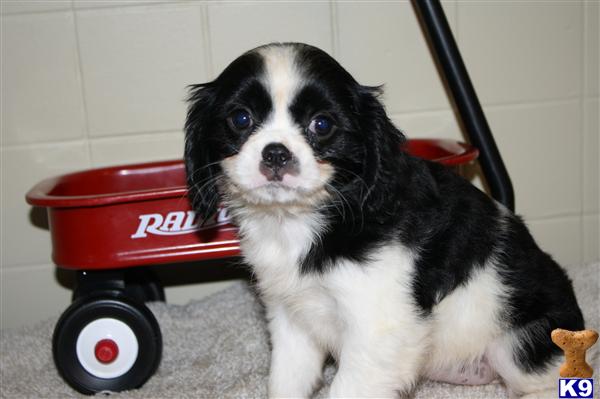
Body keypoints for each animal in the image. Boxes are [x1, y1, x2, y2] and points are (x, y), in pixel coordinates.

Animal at [185, 42, 584, 398]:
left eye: (322, 124)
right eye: (240, 119)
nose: (276, 153)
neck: (307, 221)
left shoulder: (379, 329)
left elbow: (347, 388)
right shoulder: (290, 316)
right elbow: (286, 381)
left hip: (518, 344)